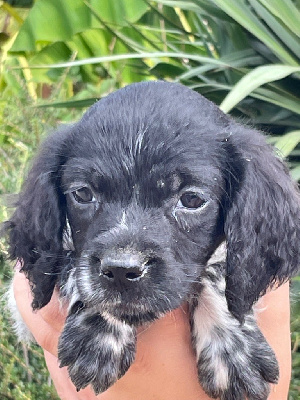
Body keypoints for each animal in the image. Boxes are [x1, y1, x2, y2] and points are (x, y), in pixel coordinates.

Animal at [5, 80, 300, 396]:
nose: (121, 271)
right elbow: (73, 264)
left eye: (192, 199)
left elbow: (221, 271)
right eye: (82, 194)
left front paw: (234, 351)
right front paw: (100, 330)